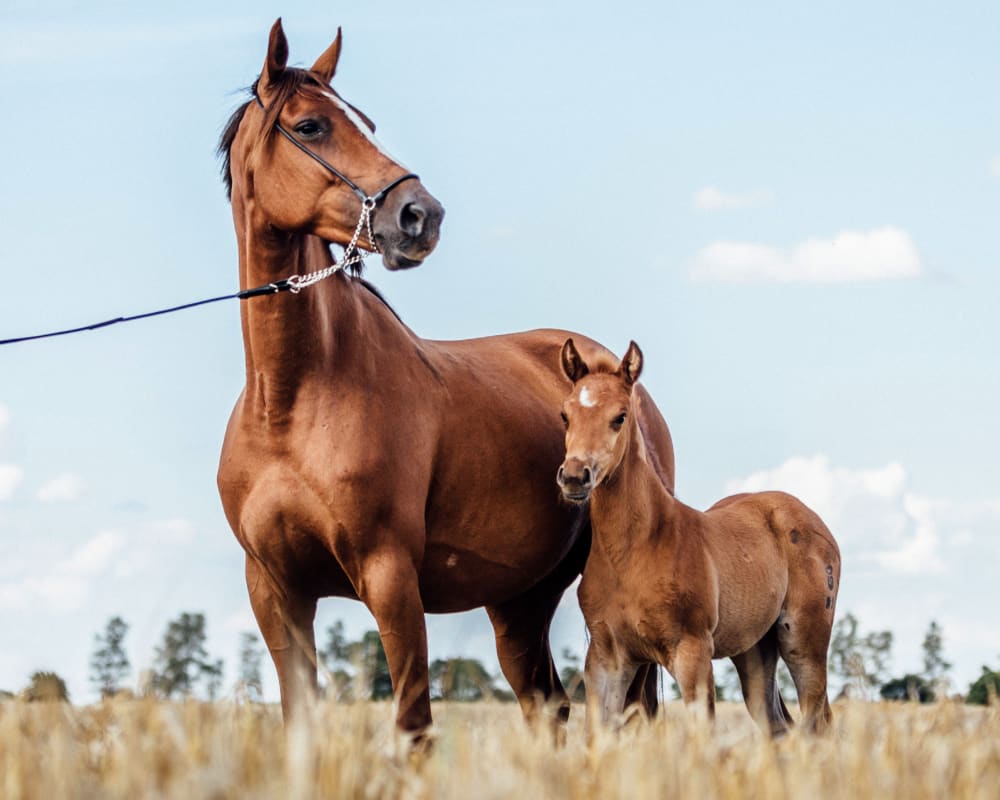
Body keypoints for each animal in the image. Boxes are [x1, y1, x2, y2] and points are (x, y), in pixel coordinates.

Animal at [215, 18, 676, 736]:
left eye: (366, 122)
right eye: (312, 126)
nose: (418, 215)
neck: (293, 403)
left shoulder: (390, 577)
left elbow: (414, 726)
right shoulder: (275, 591)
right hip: (519, 602)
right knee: (547, 703)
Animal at [560, 340, 840, 736]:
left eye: (620, 416)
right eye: (565, 415)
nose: (574, 477)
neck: (634, 550)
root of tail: (809, 516)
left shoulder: (692, 651)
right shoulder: (606, 657)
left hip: (803, 639)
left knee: (818, 723)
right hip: (755, 649)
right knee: (777, 724)